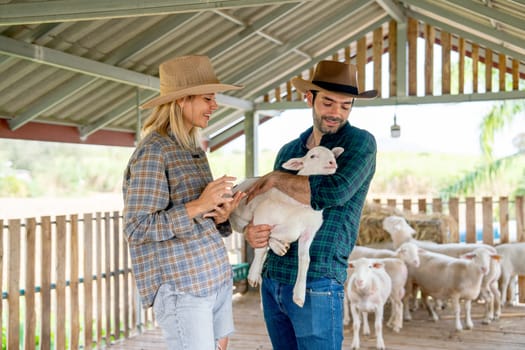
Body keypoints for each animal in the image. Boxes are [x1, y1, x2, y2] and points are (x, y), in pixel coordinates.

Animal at [229, 145, 344, 306]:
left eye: (333, 155)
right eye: (312, 156)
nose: (332, 162)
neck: (299, 207)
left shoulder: (308, 232)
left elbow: (305, 259)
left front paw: (299, 294)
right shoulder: (262, 216)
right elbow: (261, 247)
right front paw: (253, 275)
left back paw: (279, 246)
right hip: (238, 220)